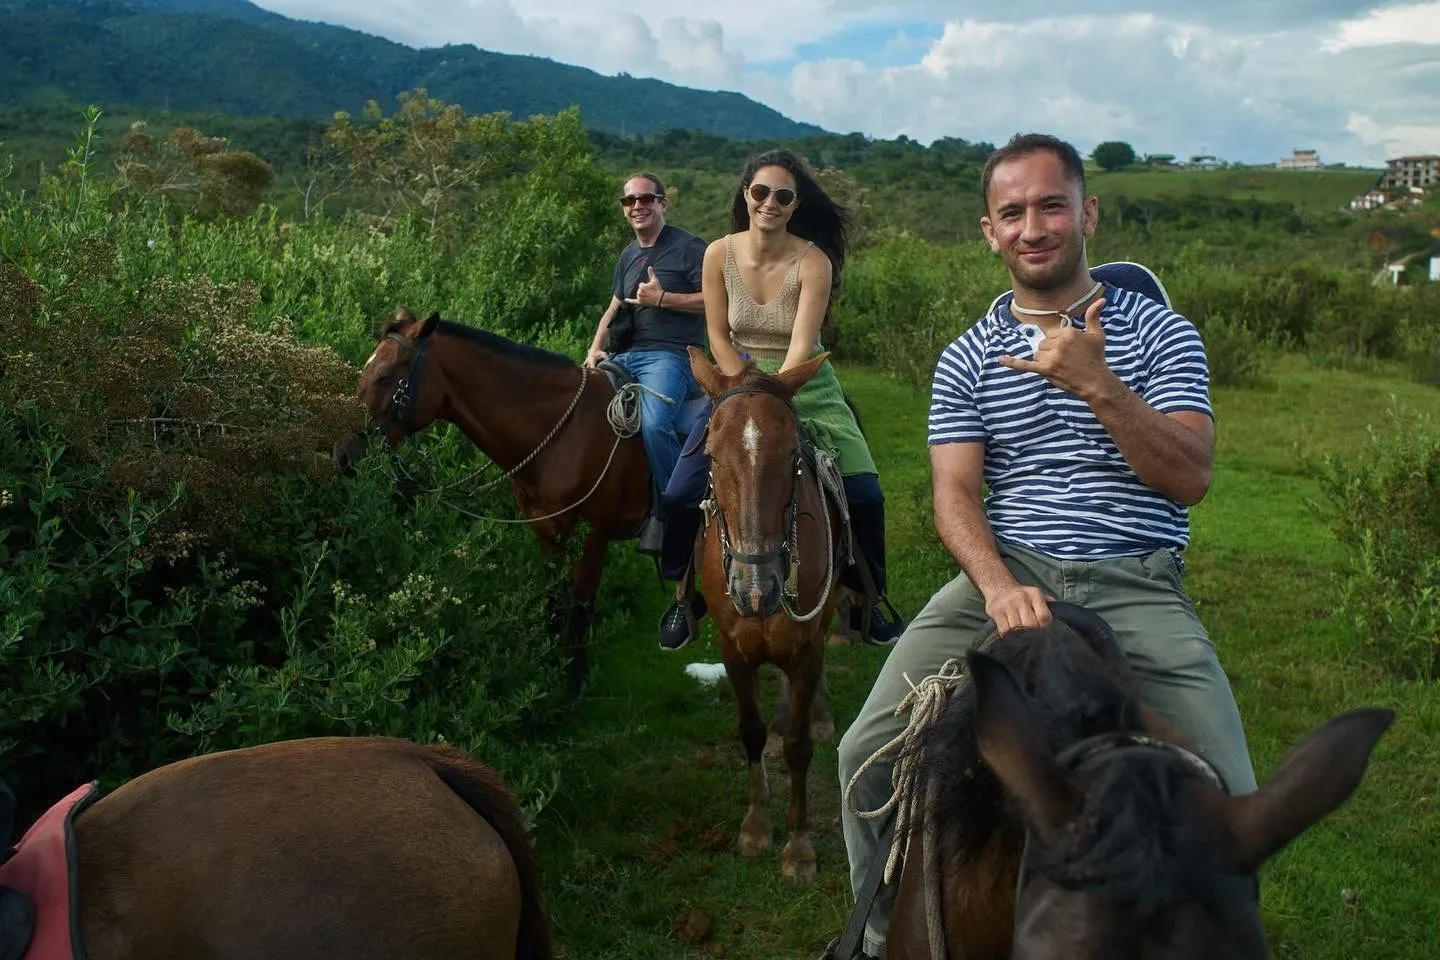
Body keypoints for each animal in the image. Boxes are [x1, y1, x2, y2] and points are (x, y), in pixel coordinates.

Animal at [336, 309, 653, 699]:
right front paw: (552, 673)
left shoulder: (593, 537)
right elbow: (554, 603)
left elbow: (579, 612)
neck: (565, 434)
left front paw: (574, 689)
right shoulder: (548, 532)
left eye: (383, 376)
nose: (343, 454)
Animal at [682, 346, 840, 886]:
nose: (755, 591)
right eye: (711, 455)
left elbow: (798, 747)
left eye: (793, 456)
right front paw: (755, 827)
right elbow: (749, 731)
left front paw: (798, 847)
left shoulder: (808, 649)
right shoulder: (733, 649)